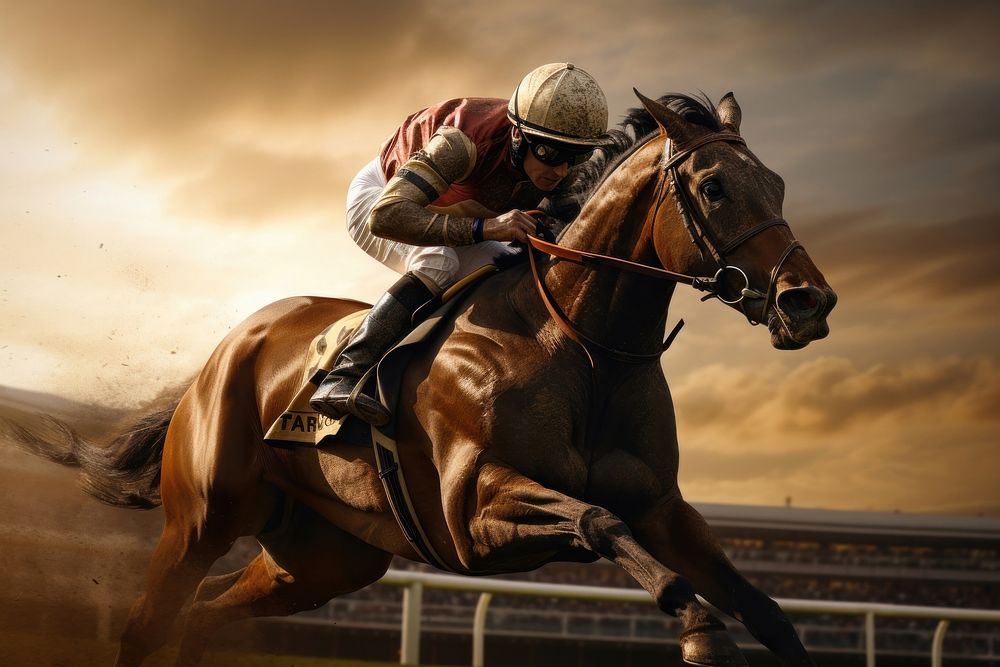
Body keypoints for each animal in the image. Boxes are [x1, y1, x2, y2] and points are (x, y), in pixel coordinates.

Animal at [45, 90, 836, 667]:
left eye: (777, 183)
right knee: (148, 624)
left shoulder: (662, 508)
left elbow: (763, 607)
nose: (808, 300)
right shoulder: (475, 512)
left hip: (323, 559)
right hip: (202, 520)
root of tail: (223, 355)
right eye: (715, 186)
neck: (585, 348)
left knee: (206, 613)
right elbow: (597, 519)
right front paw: (701, 630)